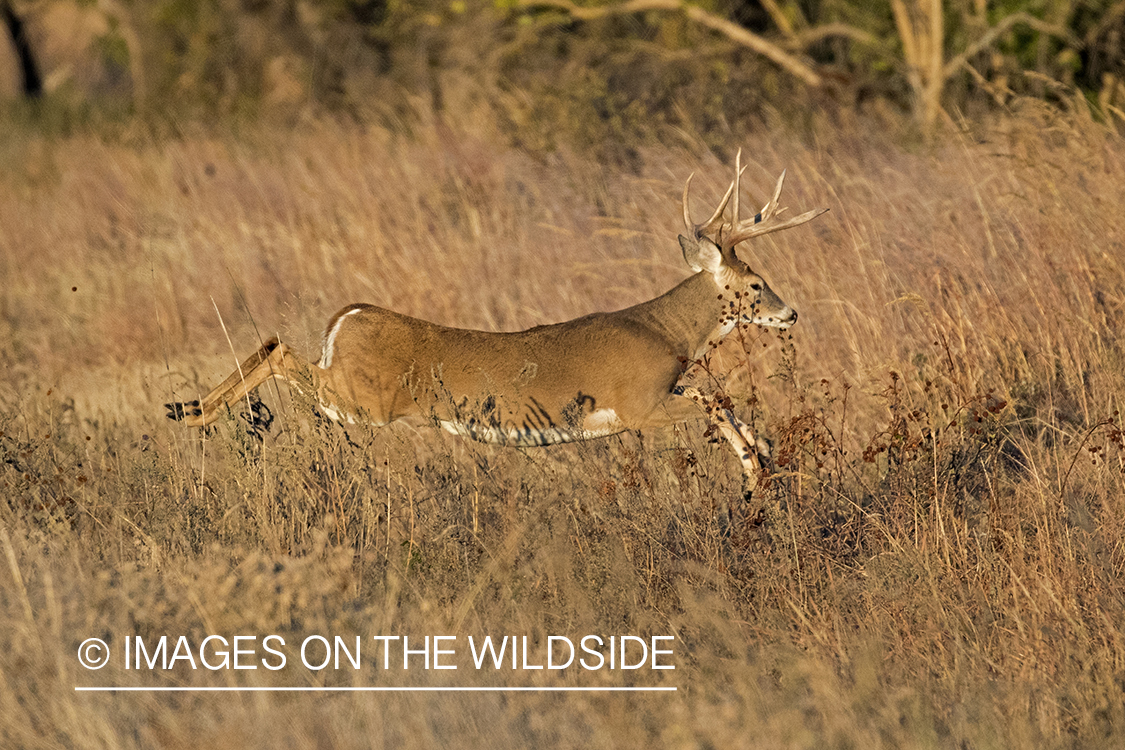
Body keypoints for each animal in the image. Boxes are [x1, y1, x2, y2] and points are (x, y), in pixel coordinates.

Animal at [171, 149, 832, 483]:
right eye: (756, 283)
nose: (792, 312)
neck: (667, 333)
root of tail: (348, 315)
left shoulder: (662, 394)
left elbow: (715, 396)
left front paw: (763, 456)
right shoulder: (639, 405)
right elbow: (712, 400)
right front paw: (753, 468)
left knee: (275, 345)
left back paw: (187, 408)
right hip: (361, 398)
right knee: (282, 350)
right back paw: (197, 413)